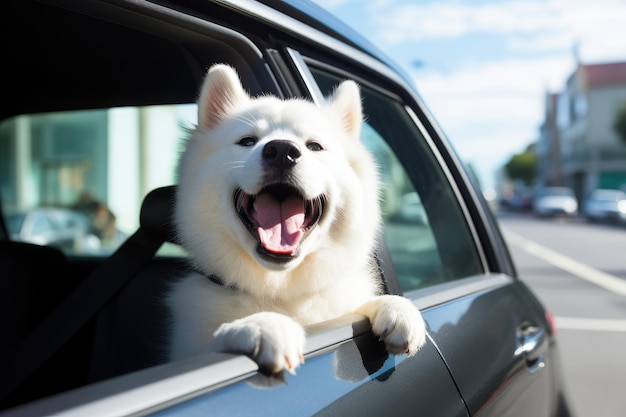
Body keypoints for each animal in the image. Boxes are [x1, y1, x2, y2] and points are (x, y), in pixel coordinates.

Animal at [166, 63, 424, 376]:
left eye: (314, 146)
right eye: (247, 141)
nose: (281, 151)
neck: (282, 291)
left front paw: (397, 307)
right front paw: (262, 324)